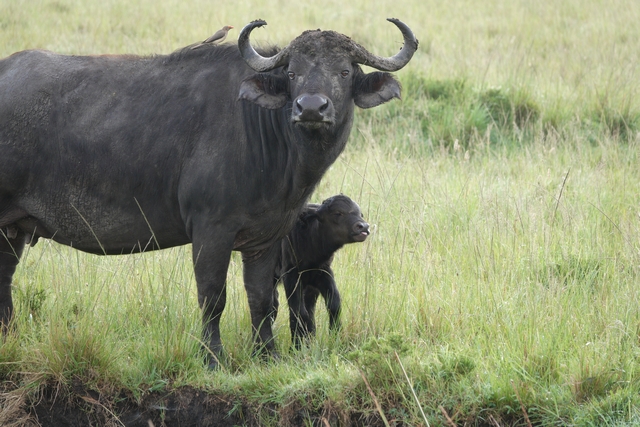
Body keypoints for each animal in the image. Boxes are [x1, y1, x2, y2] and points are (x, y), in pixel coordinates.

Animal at [272, 195, 369, 348]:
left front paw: (335, 336)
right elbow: (298, 311)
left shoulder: (323, 273)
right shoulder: (291, 276)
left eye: (360, 214)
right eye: (338, 213)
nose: (363, 227)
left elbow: (334, 304)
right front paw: (297, 346)